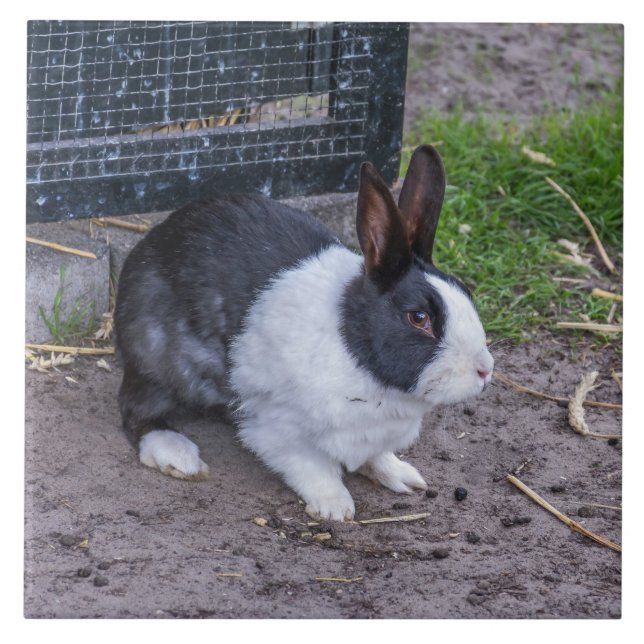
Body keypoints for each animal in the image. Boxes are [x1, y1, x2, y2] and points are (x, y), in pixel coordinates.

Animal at [114, 144, 494, 521]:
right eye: (418, 317)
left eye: (465, 291)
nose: (485, 370)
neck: (355, 349)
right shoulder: (279, 428)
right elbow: (312, 467)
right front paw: (335, 507)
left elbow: (375, 457)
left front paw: (401, 475)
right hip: (154, 356)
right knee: (136, 412)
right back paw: (177, 454)